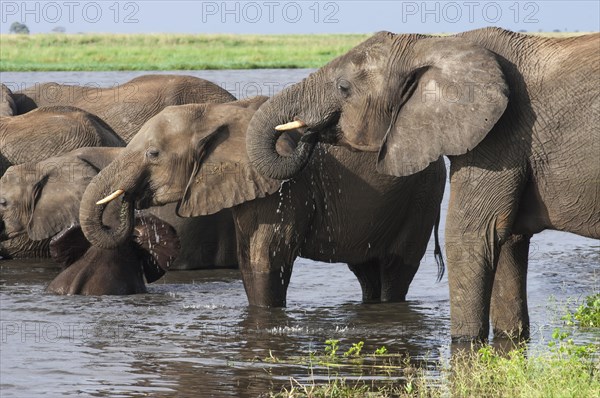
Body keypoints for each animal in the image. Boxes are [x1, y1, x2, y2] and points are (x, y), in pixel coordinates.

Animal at [78, 98, 446, 306]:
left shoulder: (285, 188)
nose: (130, 201)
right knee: (367, 272)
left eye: (153, 154)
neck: (216, 115)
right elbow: (248, 258)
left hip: (423, 196)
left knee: (394, 270)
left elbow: (265, 257)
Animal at [245, 28, 600, 340]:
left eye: (344, 87)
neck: (434, 44)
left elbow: (470, 236)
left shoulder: (501, 136)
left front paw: (464, 343)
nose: (307, 132)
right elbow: (508, 238)